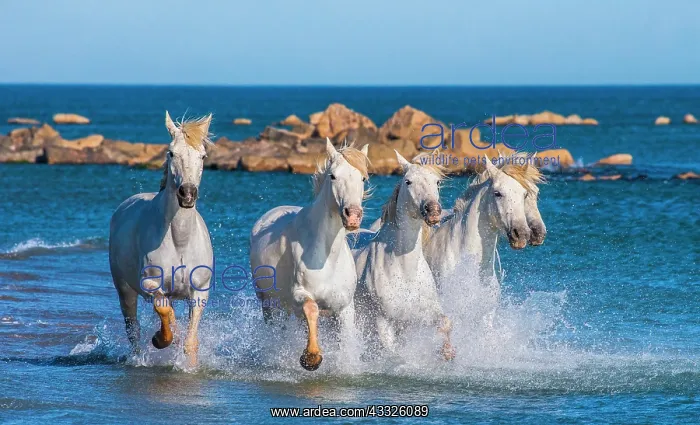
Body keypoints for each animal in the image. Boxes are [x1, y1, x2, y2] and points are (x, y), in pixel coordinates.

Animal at [109, 111, 214, 368]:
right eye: (171, 152)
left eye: (203, 155)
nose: (187, 194)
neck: (180, 241)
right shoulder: (150, 284)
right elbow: (164, 312)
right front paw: (159, 339)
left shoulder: (200, 292)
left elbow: (190, 340)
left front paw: (190, 366)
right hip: (124, 290)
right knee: (133, 329)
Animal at [249, 139, 369, 371]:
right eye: (333, 176)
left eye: (363, 178)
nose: (353, 216)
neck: (327, 258)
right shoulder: (299, 294)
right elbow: (312, 308)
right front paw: (311, 357)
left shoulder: (344, 307)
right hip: (268, 303)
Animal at [353, 151, 455, 361]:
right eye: (408, 181)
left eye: (437, 181)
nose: (433, 211)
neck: (404, 269)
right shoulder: (383, 320)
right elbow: (392, 352)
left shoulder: (420, 315)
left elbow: (445, 322)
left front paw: (447, 352)